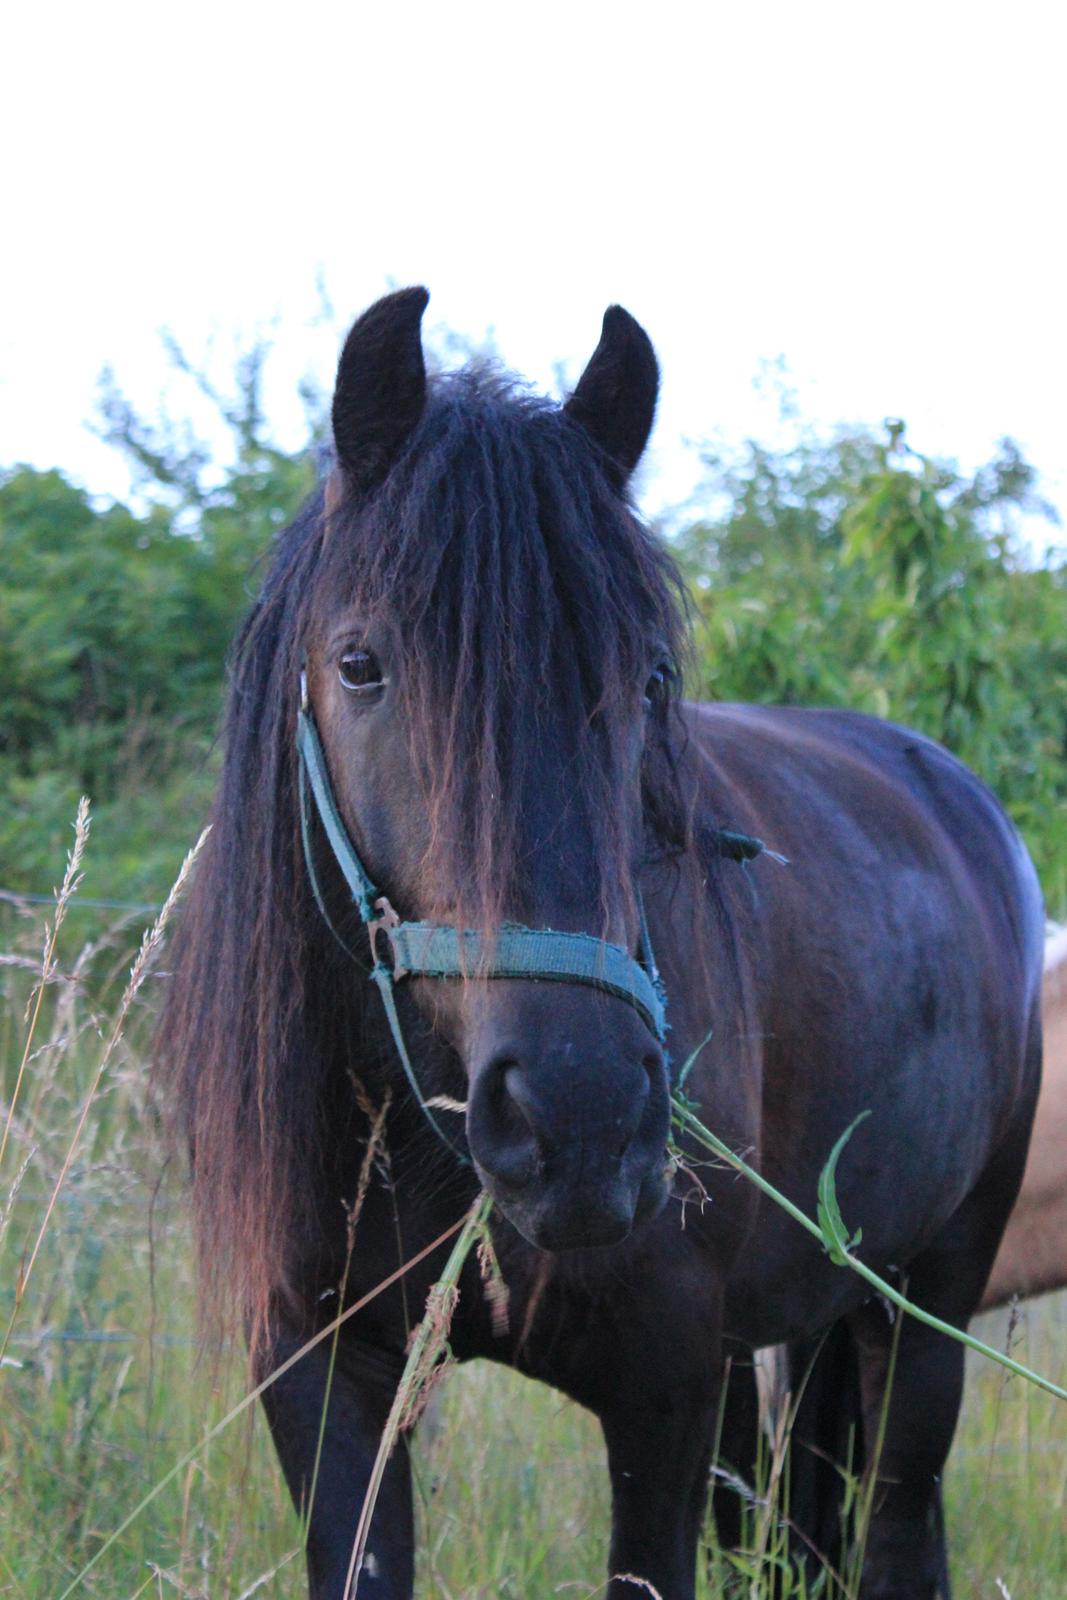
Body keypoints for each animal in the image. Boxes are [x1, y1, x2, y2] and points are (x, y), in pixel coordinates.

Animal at [158, 288, 1044, 1600]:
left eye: (651, 678)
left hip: (923, 1302)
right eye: (360, 665)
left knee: (895, 1519)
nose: (579, 1123)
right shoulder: (321, 1369)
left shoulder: (661, 1384)